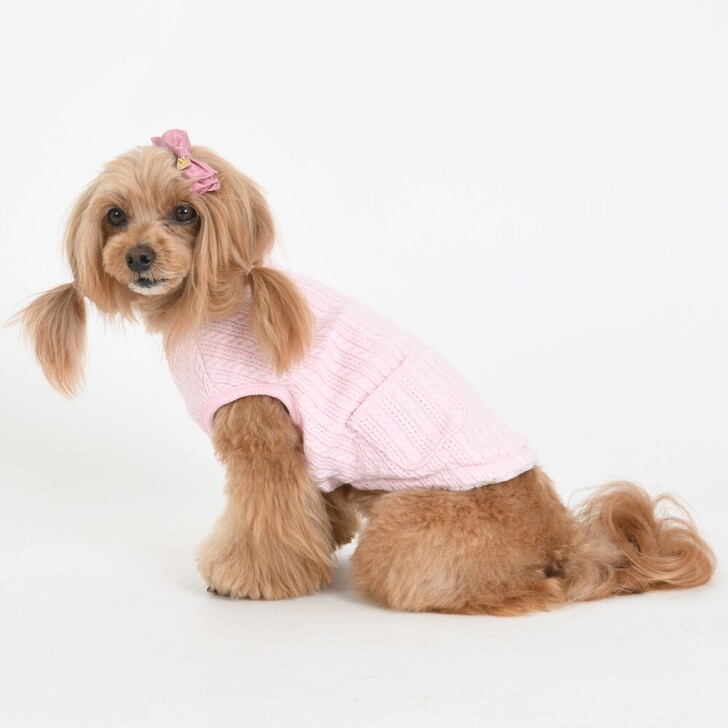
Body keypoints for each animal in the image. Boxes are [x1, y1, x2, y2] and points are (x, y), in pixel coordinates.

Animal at [17, 129, 715, 614]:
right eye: (114, 215)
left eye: (186, 212)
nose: (137, 255)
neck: (216, 298)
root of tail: (563, 534)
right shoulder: (299, 458)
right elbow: (309, 511)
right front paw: (314, 548)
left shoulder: (263, 436)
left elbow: (261, 519)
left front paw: (251, 579)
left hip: (404, 534)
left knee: (523, 589)